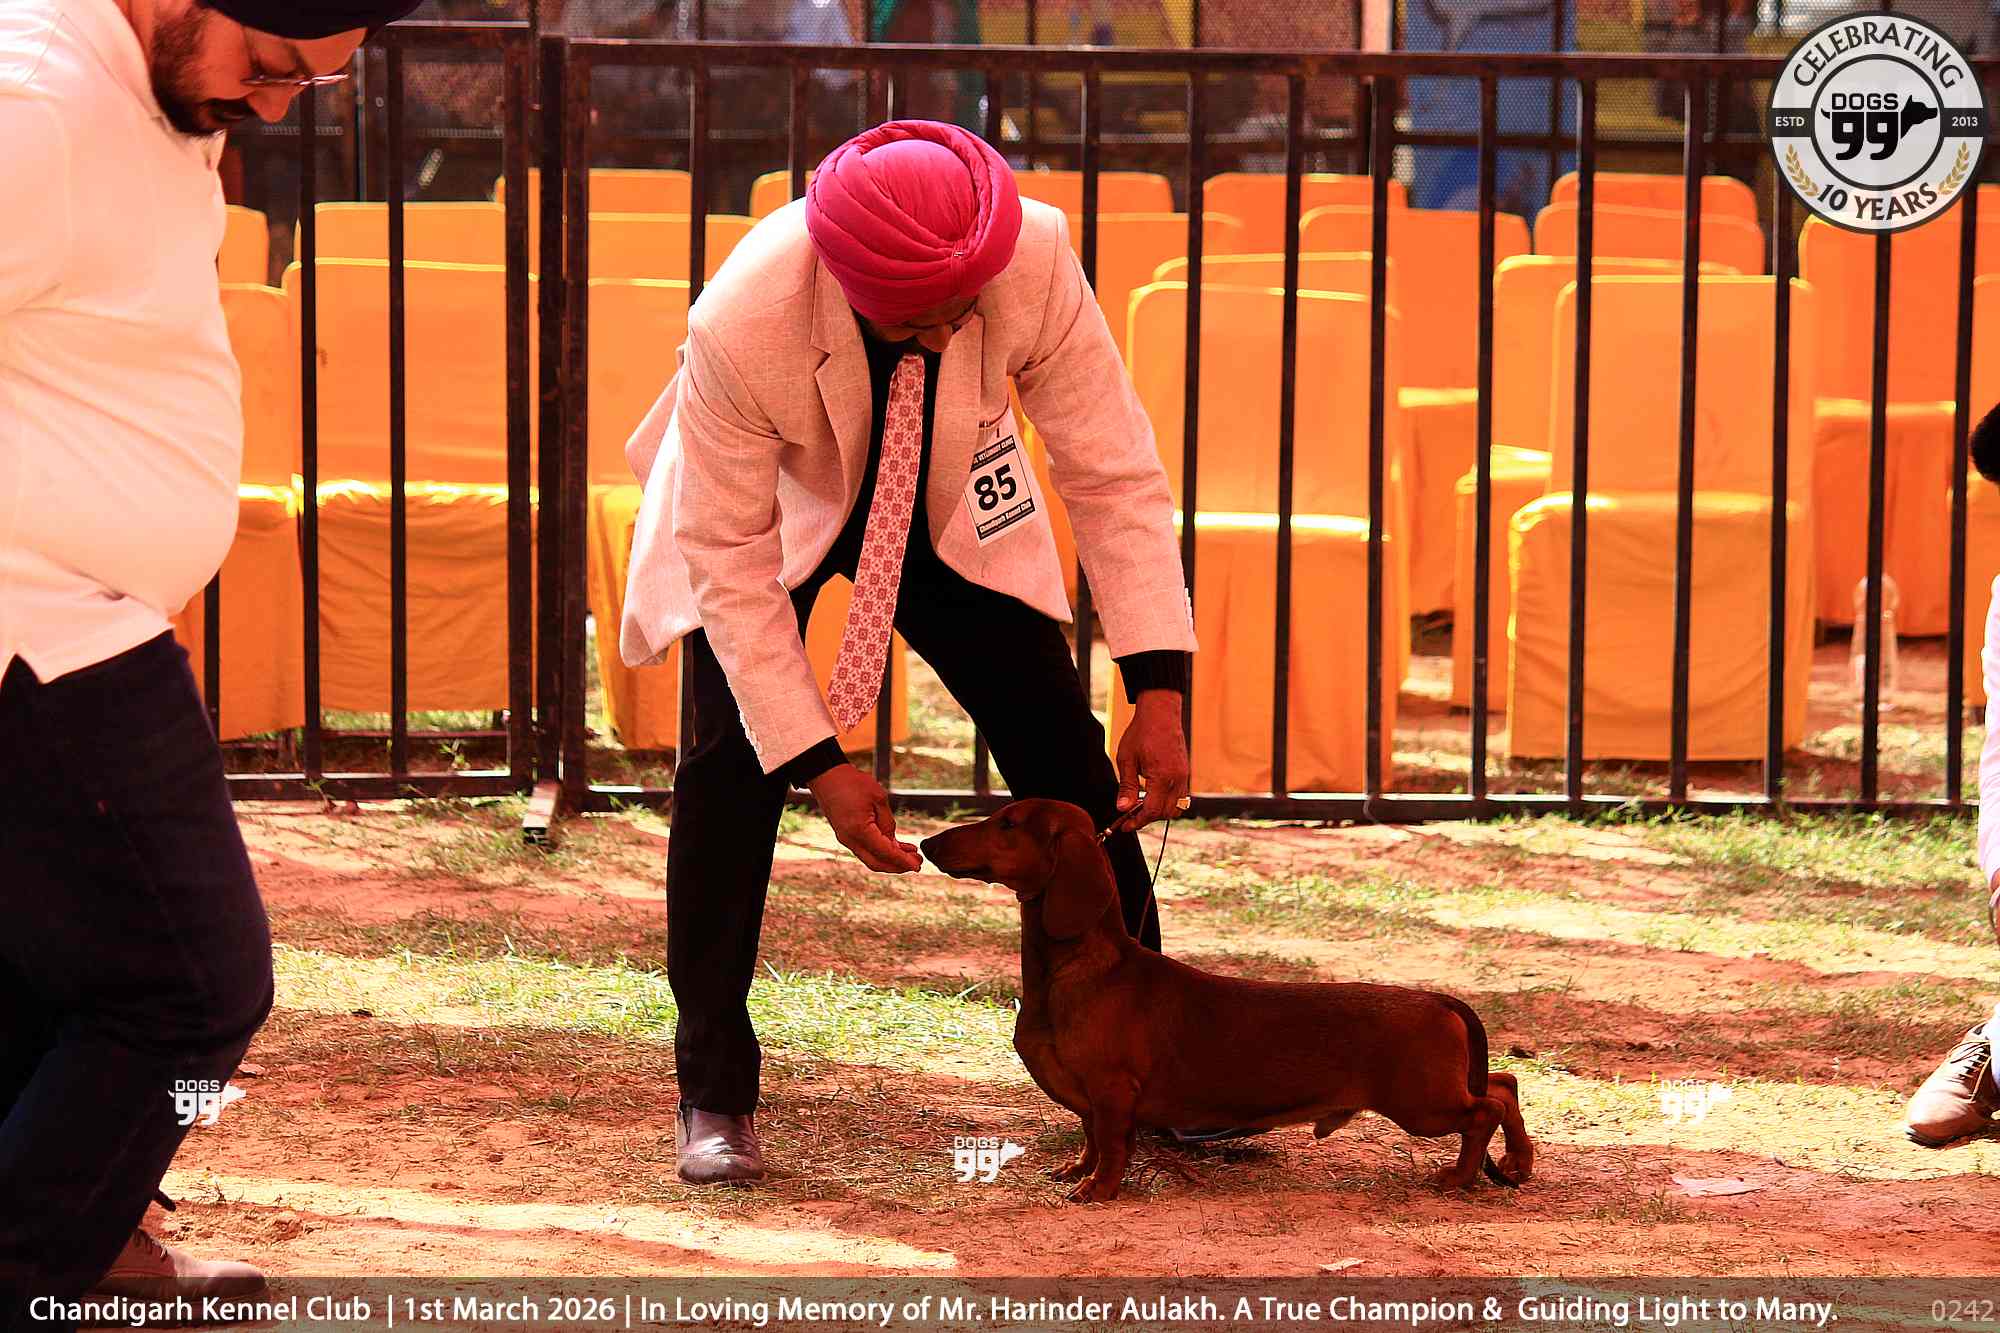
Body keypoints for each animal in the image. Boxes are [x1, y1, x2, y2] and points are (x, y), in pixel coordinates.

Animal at [919, 799, 1535, 1202]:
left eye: (1008, 823)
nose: (926, 843)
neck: (1078, 968)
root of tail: (1438, 999)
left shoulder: (1112, 1092)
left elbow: (1112, 1147)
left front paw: (1098, 1190)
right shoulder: (1093, 1100)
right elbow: (1092, 1140)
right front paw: (1077, 1171)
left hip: (1420, 1103)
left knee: (1486, 1109)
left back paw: (1459, 1177)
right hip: (1435, 1092)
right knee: (1505, 1084)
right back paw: (1517, 1162)